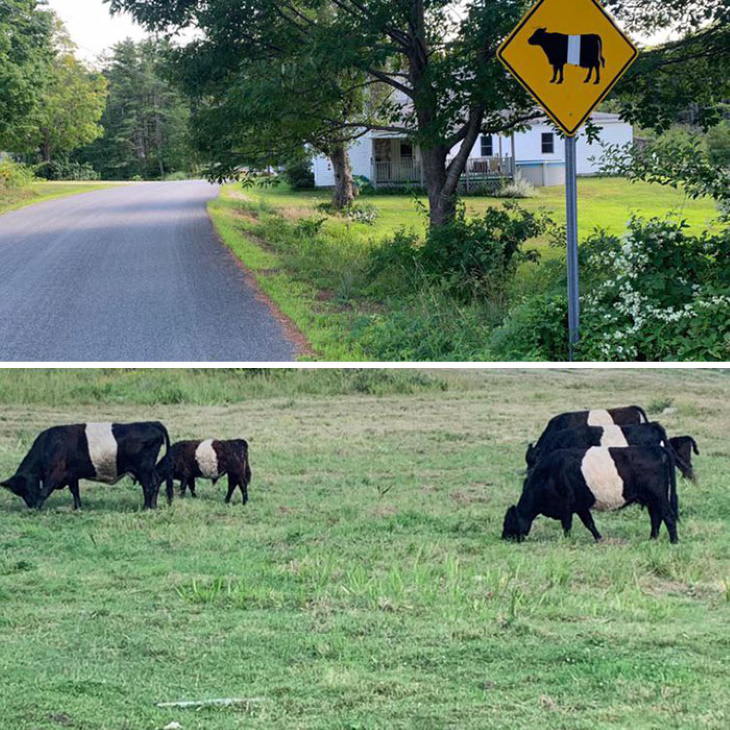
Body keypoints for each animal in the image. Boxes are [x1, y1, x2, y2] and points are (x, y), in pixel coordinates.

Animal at [0, 418, 168, 510]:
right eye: (19, 492)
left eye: (28, 487)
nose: (30, 504)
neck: (50, 445)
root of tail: (152, 423)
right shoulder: (71, 475)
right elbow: (75, 491)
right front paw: (78, 507)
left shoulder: (56, 473)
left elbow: (45, 491)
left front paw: (37, 508)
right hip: (147, 469)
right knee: (156, 482)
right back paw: (152, 506)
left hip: (144, 469)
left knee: (149, 485)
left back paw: (147, 507)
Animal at [500, 444, 676, 540]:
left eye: (508, 522)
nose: (504, 538)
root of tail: (656, 448)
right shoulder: (580, 506)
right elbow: (589, 523)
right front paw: (599, 538)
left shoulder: (566, 506)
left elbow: (567, 525)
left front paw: (567, 540)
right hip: (652, 499)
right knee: (656, 518)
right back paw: (652, 539)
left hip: (658, 496)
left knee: (668, 516)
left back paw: (674, 541)